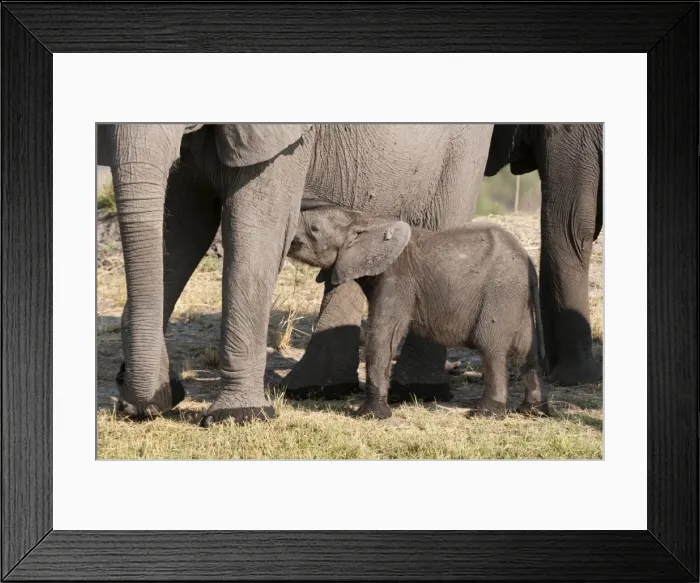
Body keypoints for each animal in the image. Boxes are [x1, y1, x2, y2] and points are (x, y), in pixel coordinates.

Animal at [97, 123, 496, 425]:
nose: (139, 404)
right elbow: (182, 228)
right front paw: (153, 399)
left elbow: (256, 235)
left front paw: (239, 416)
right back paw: (314, 389)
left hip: (462, 147)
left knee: (440, 220)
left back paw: (416, 392)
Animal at [288, 200, 550, 420]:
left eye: (314, 229)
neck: (367, 221)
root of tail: (529, 262)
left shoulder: (397, 279)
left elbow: (384, 335)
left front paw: (372, 416)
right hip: (518, 299)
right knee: (528, 351)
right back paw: (532, 411)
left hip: (500, 293)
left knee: (491, 346)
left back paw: (485, 414)